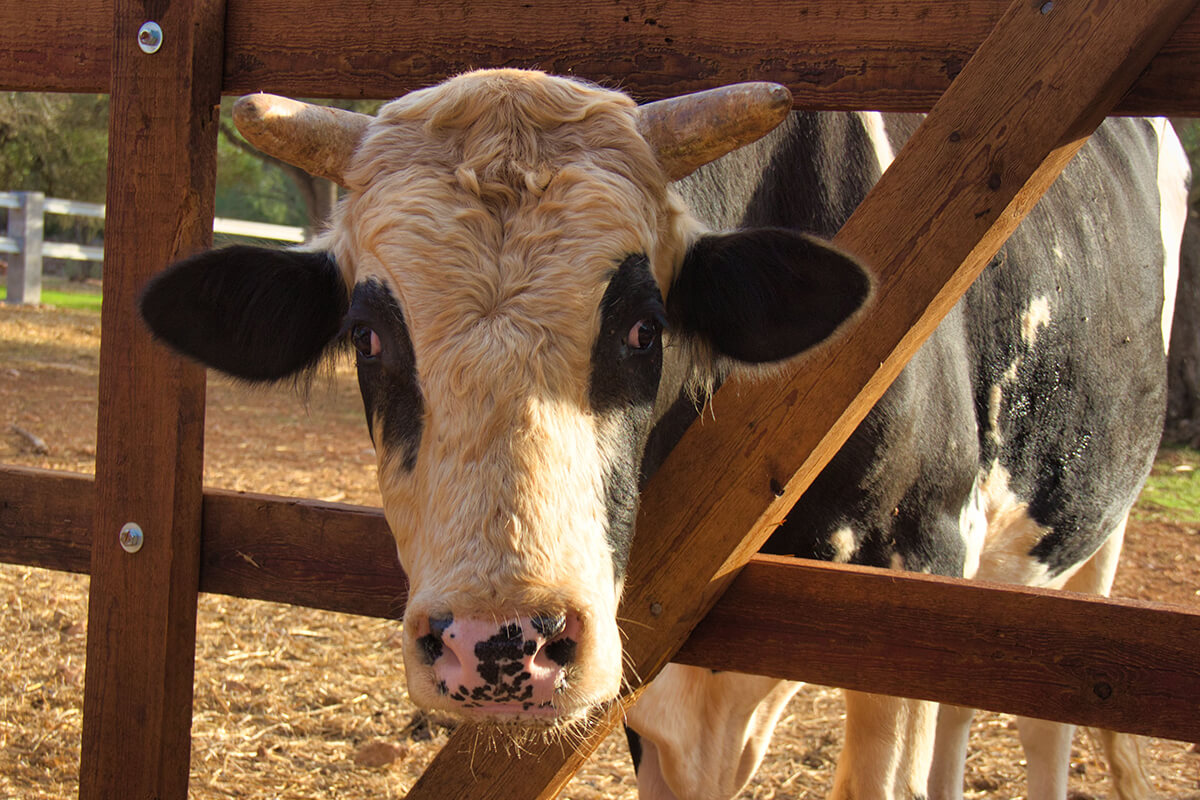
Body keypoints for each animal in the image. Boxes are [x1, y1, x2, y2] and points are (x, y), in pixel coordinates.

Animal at [140, 70, 1190, 800]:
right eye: (366, 335)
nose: (498, 644)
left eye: (644, 327)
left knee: (1046, 714)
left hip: (1087, 536)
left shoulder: (916, 562)